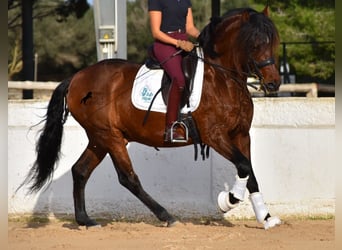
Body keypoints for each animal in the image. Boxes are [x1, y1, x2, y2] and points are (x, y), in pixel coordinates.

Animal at [23, 4, 280, 229]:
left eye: (274, 42)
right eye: (255, 43)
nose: (273, 84)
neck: (222, 78)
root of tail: (76, 78)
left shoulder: (241, 134)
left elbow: (250, 172)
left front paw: (266, 218)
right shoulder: (215, 136)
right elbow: (244, 166)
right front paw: (228, 201)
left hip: (100, 138)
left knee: (80, 170)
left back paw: (85, 220)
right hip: (109, 136)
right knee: (128, 178)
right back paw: (166, 216)